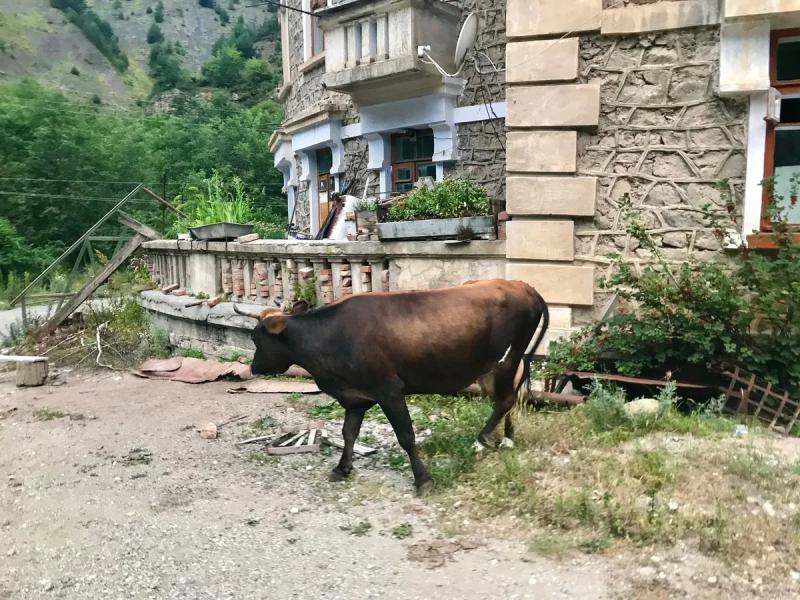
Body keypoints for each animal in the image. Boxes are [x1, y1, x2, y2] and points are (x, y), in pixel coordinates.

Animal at [238, 280, 548, 492]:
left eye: (256, 338)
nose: (253, 367)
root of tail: (523, 286)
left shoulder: (389, 391)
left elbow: (406, 436)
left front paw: (422, 478)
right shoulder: (357, 397)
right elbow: (349, 433)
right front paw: (342, 468)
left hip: (506, 360)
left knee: (505, 400)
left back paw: (481, 440)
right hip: (498, 368)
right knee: (507, 397)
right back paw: (506, 438)